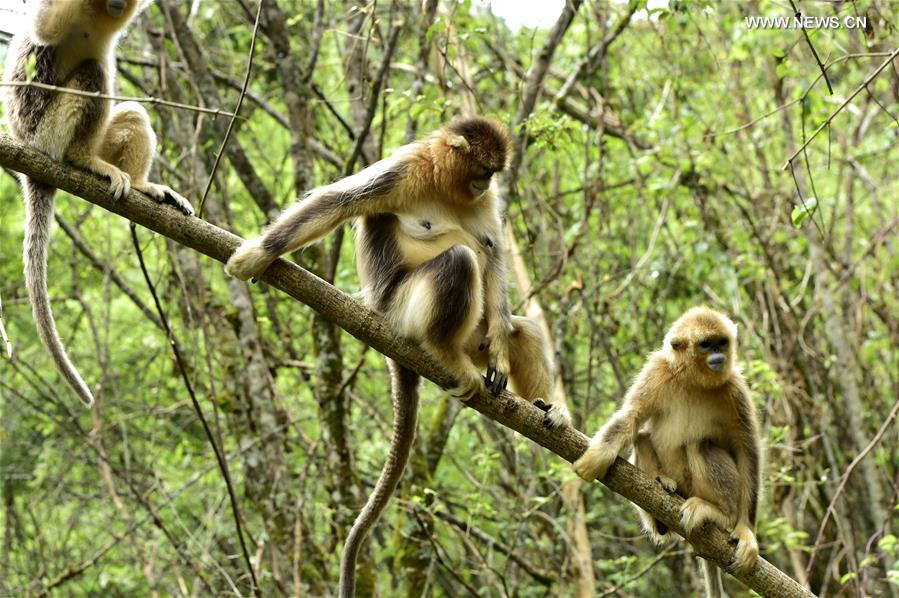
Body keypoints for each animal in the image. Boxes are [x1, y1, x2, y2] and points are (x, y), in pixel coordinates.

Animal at [3, 0, 194, 410]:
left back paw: (142, 185)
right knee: (92, 73)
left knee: (132, 113)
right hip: (47, 135)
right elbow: (43, 28)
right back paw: (82, 159)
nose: (118, 6)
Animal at [225, 116, 568, 596]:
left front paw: (507, 358)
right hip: (401, 312)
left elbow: (493, 251)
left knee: (521, 325)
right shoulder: (406, 168)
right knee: (459, 260)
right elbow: (338, 201)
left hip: (475, 335)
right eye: (484, 168)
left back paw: (543, 405)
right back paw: (447, 355)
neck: (447, 187)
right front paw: (260, 252)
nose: (484, 183)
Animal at [576, 308, 760, 596]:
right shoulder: (657, 372)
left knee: (699, 444)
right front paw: (597, 457)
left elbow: (747, 449)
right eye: (706, 344)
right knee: (642, 437)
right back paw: (662, 489)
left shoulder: (735, 388)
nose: (718, 355)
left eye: (721, 343)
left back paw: (719, 512)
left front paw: (746, 532)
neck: (694, 380)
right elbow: (631, 417)